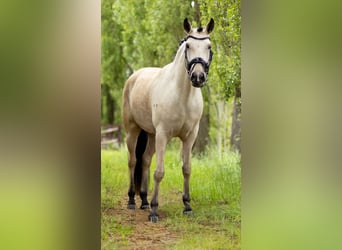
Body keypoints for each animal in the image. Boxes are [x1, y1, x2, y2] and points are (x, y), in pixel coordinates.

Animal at [122, 18, 214, 223]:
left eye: (209, 46)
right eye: (188, 46)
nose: (198, 77)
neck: (182, 95)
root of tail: (133, 77)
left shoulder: (190, 137)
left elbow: (186, 169)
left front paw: (187, 206)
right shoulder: (163, 135)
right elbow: (159, 172)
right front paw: (155, 211)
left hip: (151, 135)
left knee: (145, 160)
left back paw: (144, 201)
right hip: (133, 131)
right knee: (132, 161)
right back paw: (132, 200)